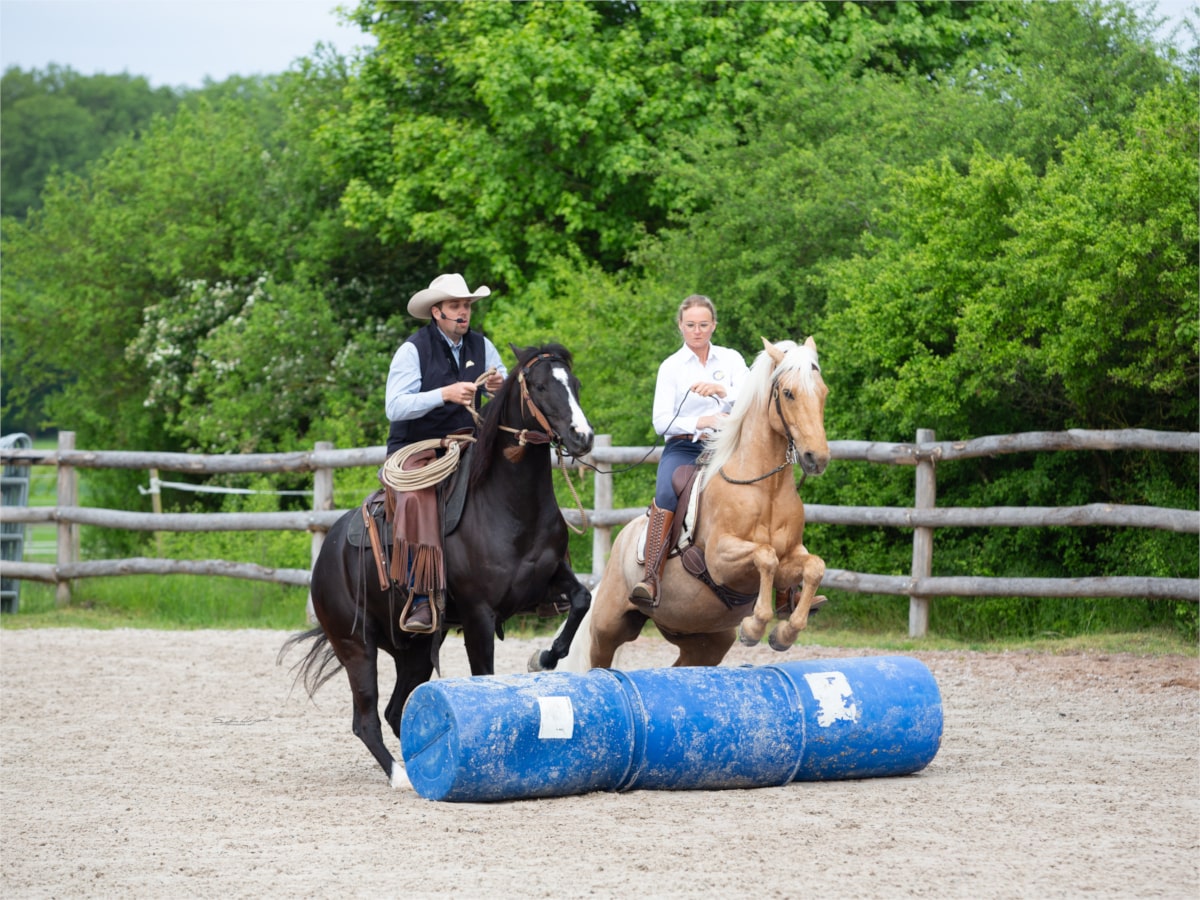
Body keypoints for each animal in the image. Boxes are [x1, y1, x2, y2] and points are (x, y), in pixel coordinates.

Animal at [285, 345, 595, 787]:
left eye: (575, 383)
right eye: (538, 386)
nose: (582, 437)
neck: (509, 506)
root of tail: (327, 550)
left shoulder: (550, 582)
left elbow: (582, 600)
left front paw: (544, 658)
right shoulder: (479, 616)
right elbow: (484, 677)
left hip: (412, 651)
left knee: (395, 710)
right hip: (356, 646)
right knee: (366, 718)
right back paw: (399, 776)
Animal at [549, 340, 830, 676]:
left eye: (823, 391)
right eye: (788, 393)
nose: (817, 458)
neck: (766, 489)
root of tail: (622, 540)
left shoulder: (792, 556)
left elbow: (813, 566)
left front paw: (784, 633)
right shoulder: (721, 560)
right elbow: (766, 557)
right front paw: (753, 627)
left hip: (703, 637)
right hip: (609, 625)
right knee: (598, 659)